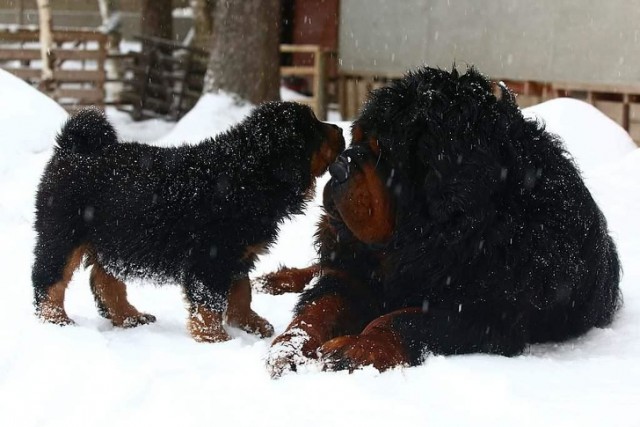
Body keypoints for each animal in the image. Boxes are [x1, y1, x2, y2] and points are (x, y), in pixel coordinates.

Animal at [31, 102, 344, 342]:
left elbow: (242, 291)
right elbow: (210, 302)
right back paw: (56, 319)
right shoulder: (211, 256)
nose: (341, 129)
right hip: (64, 233)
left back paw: (130, 316)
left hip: (113, 238)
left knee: (104, 280)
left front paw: (250, 324)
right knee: (49, 277)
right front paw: (215, 338)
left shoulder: (237, 254)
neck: (247, 173)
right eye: (315, 129)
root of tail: (72, 149)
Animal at [264, 65, 620, 376]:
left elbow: (405, 320)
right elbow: (321, 305)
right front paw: (290, 346)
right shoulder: (354, 275)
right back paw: (274, 279)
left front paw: (357, 348)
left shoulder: (485, 313)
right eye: (358, 139)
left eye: (385, 152)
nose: (338, 166)